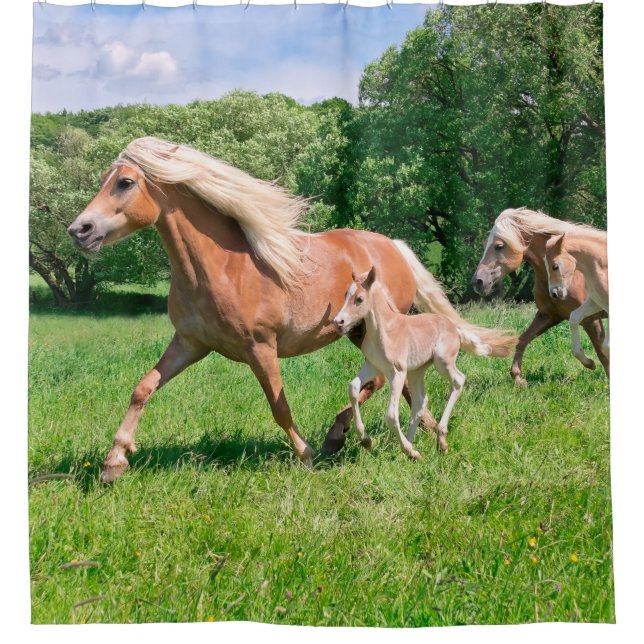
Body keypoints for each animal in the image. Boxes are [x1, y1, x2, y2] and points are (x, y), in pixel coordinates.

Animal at [333, 267, 470, 459]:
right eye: (346, 294)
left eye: (359, 299)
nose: (338, 322)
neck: (384, 332)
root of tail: (453, 327)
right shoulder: (373, 366)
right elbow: (353, 388)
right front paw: (366, 440)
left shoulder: (397, 373)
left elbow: (391, 415)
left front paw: (407, 450)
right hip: (416, 371)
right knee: (420, 401)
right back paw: (412, 446)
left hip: (442, 362)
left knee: (458, 380)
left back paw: (439, 441)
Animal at [544, 228, 609, 368]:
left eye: (555, 266)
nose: (554, 293)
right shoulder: (596, 302)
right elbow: (574, 317)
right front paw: (589, 363)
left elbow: (607, 346)